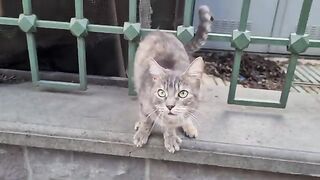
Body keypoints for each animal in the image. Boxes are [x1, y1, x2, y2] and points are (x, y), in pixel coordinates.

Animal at [132, 4, 212, 153]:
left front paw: (170, 137)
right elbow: (146, 118)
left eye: (183, 93)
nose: (169, 106)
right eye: (161, 92)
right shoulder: (144, 102)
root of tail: (160, 31)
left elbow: (171, 125)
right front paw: (142, 132)